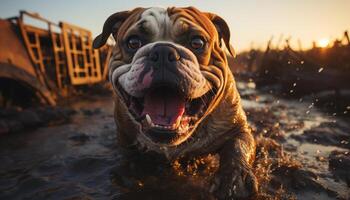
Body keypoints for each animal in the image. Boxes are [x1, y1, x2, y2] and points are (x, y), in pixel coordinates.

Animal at [93, 7, 258, 199]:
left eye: (197, 42)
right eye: (133, 42)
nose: (163, 51)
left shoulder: (237, 128)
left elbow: (237, 147)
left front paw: (233, 179)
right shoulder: (126, 141)